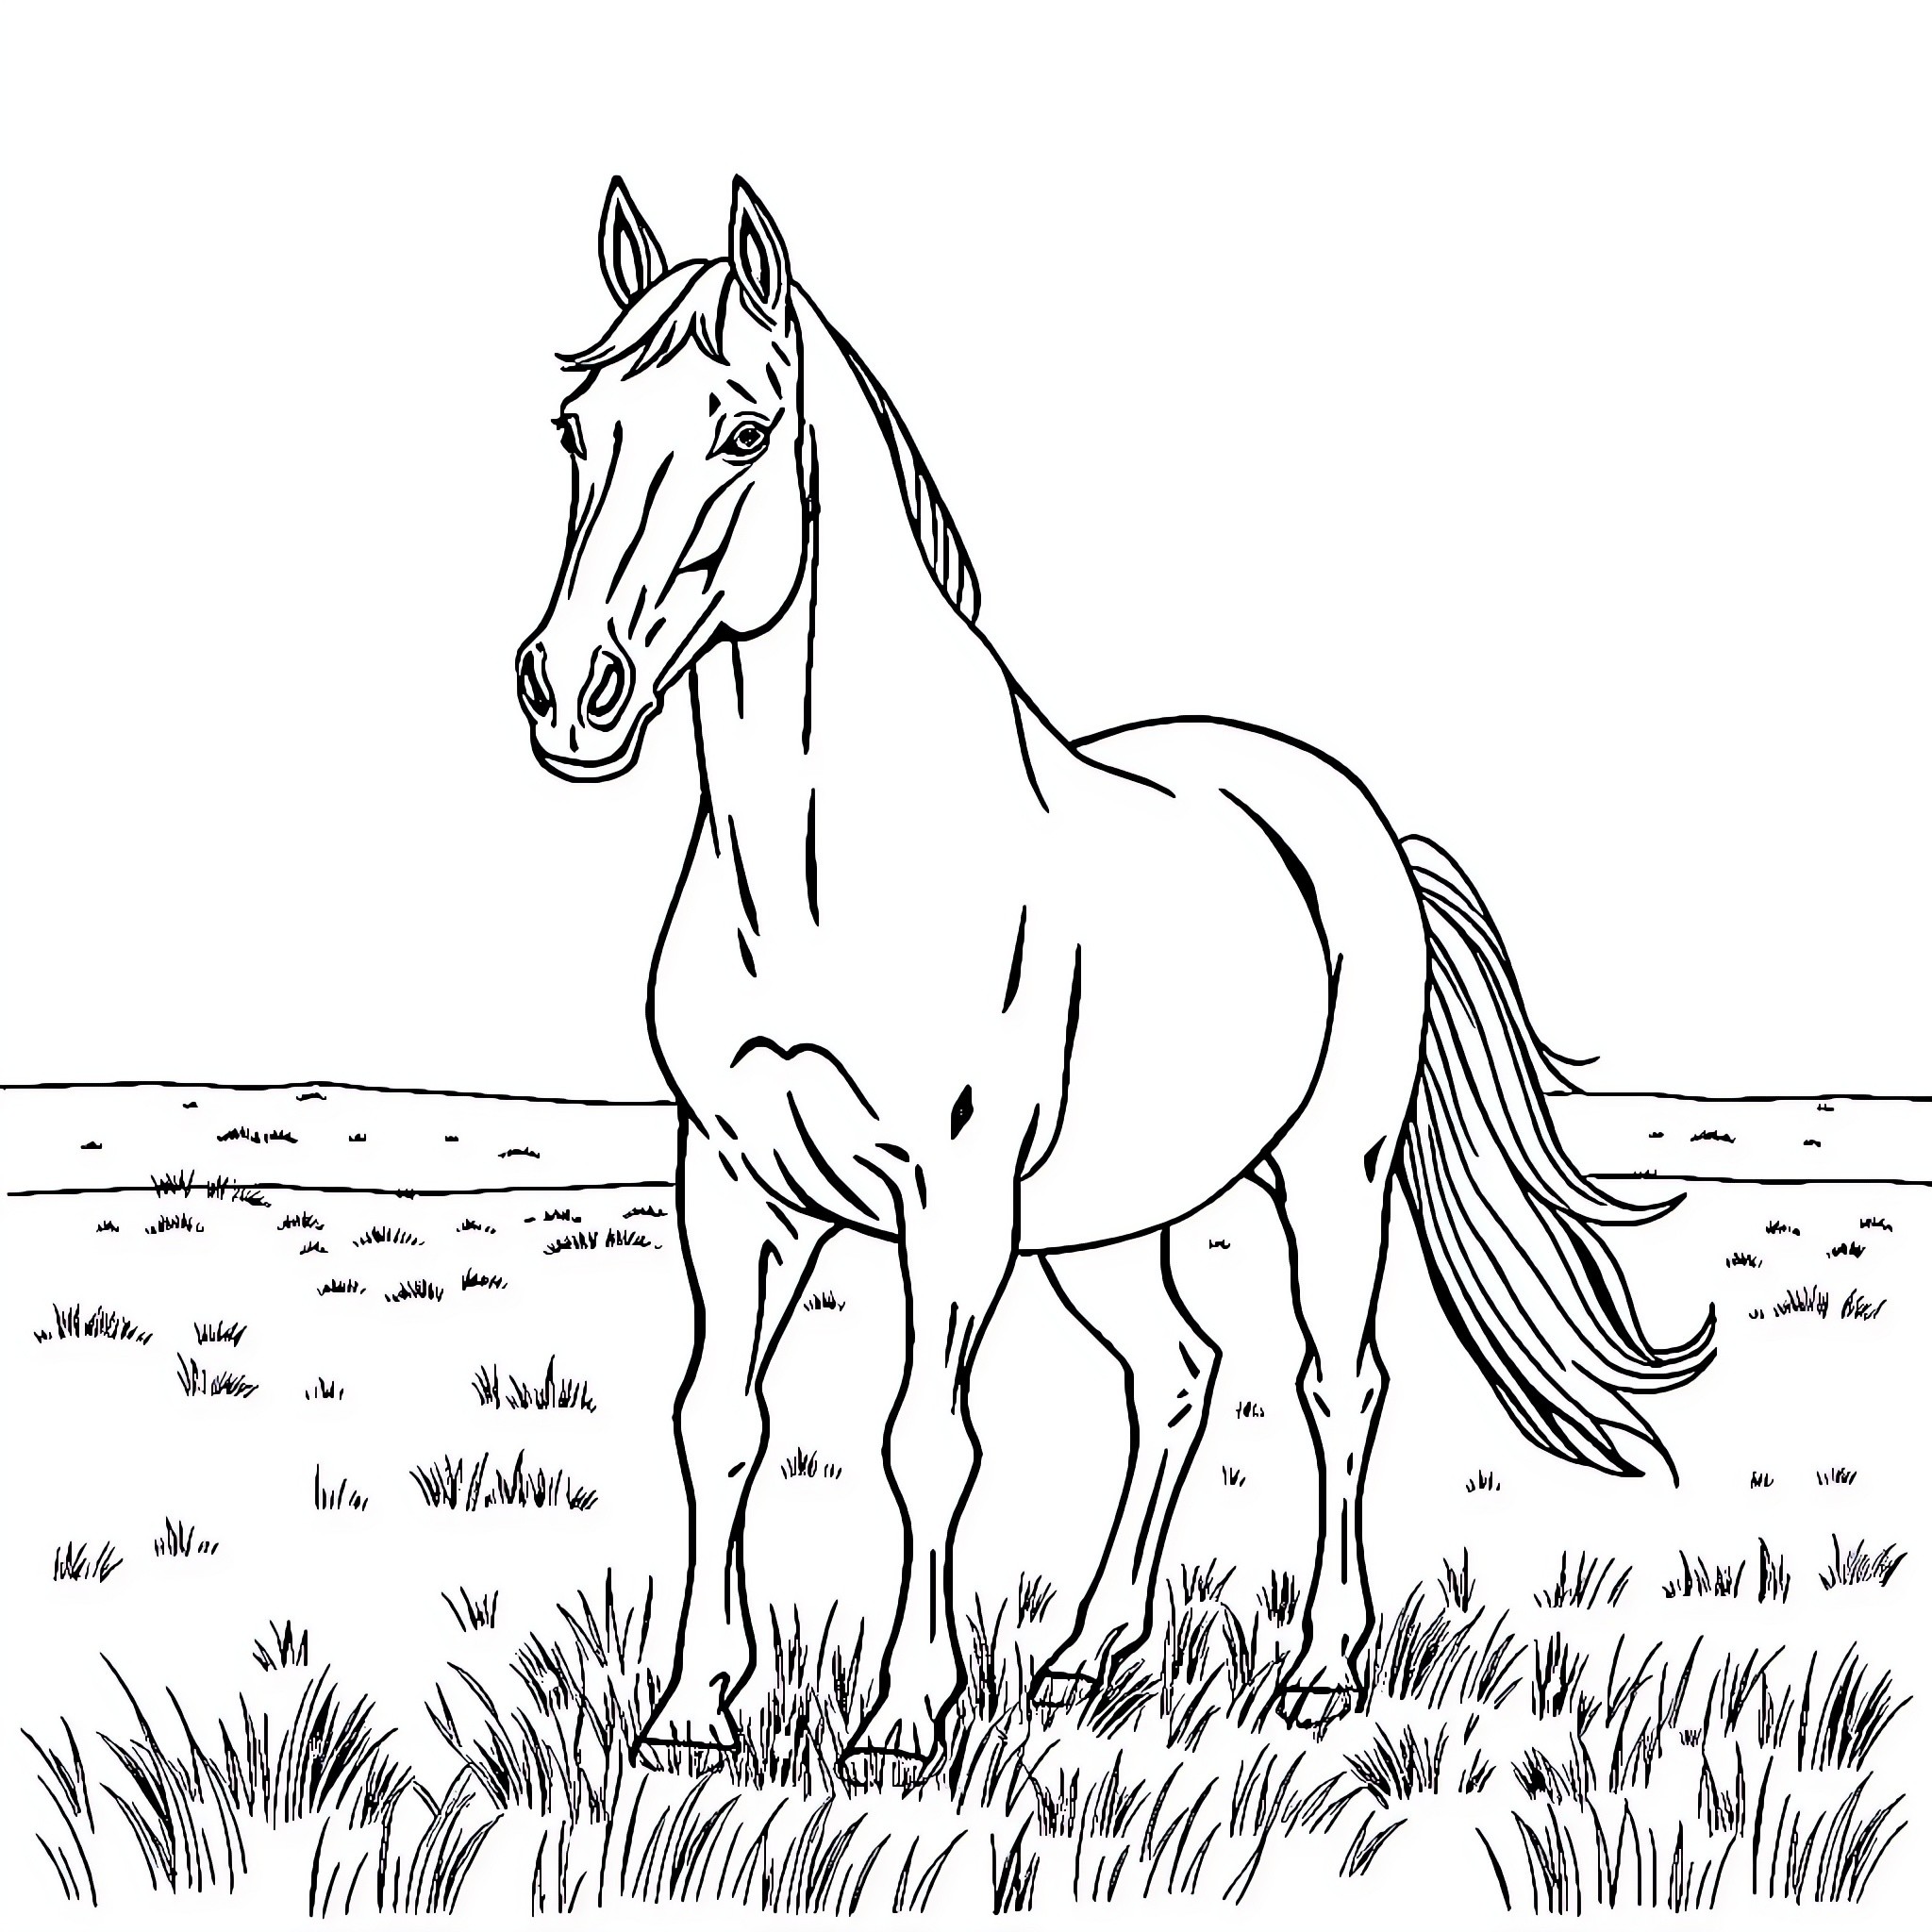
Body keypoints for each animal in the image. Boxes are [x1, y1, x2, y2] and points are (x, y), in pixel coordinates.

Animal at [513, 177, 1715, 1773]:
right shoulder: (733, 1180)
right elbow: (719, 1424)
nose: (566, 689)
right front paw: (694, 1713)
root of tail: (1356, 821)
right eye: (578, 428)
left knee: (1337, 1387)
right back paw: (1089, 1653)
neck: (823, 872)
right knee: (1175, 1378)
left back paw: (1320, 1671)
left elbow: (926, 1441)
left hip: (1327, 1178)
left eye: (744, 431)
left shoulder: (950, 1198)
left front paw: (901, 1719)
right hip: (1103, 1223)